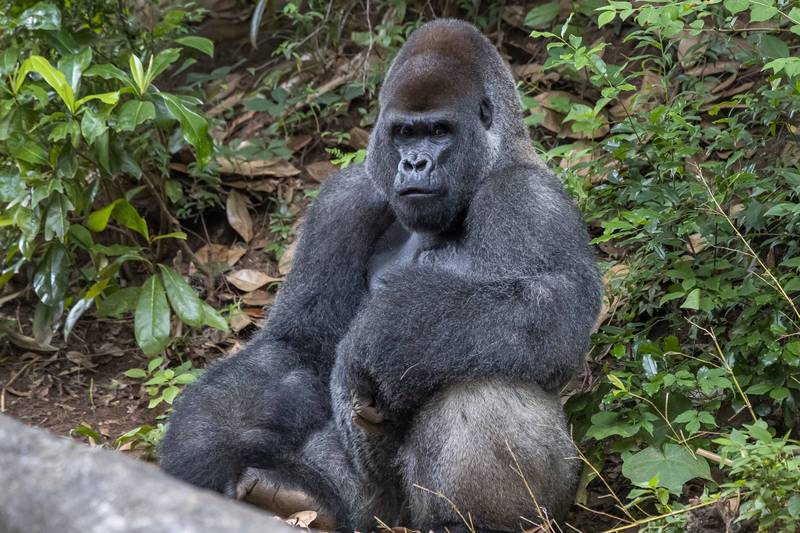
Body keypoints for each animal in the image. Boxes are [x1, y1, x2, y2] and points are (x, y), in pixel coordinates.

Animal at [159, 18, 604, 528]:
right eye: (404, 133)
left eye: (439, 131)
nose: (414, 163)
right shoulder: (342, 200)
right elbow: (297, 343)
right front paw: (201, 449)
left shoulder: (528, 197)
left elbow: (553, 312)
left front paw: (380, 335)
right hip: (376, 512)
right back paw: (299, 494)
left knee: (481, 377)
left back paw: (475, 522)